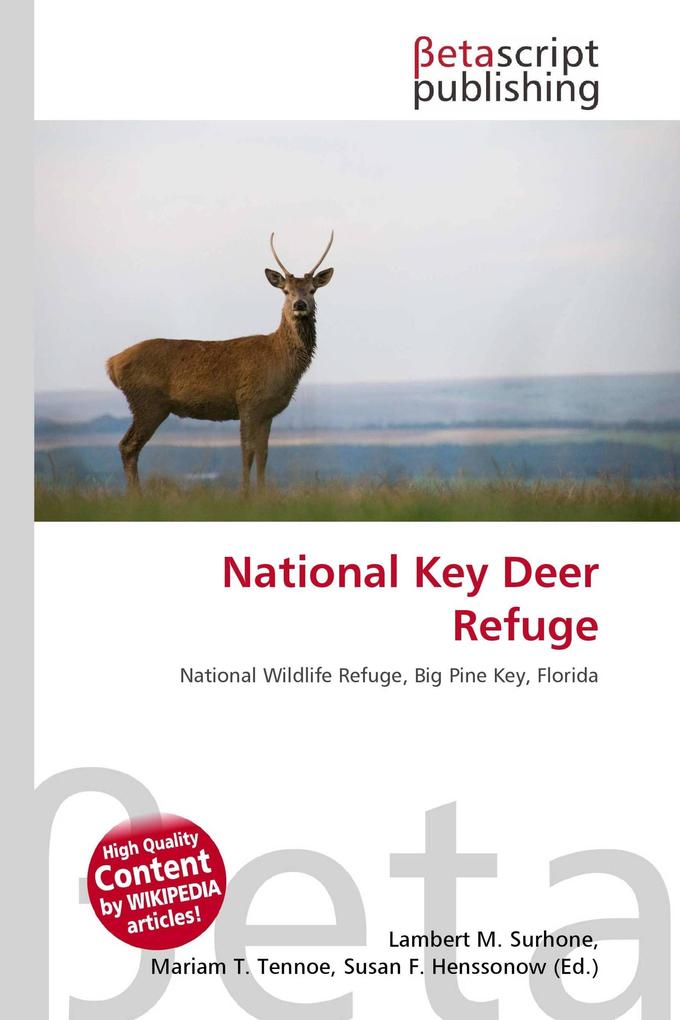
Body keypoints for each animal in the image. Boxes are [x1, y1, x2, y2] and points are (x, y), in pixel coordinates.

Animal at [106, 232, 334, 492]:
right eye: (286, 291)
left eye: (312, 290)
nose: (299, 305)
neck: (280, 361)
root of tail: (112, 363)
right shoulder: (247, 401)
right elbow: (247, 451)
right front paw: (244, 493)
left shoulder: (266, 411)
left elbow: (263, 453)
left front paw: (262, 493)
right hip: (147, 402)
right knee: (128, 445)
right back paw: (137, 495)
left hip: (147, 404)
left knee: (128, 446)